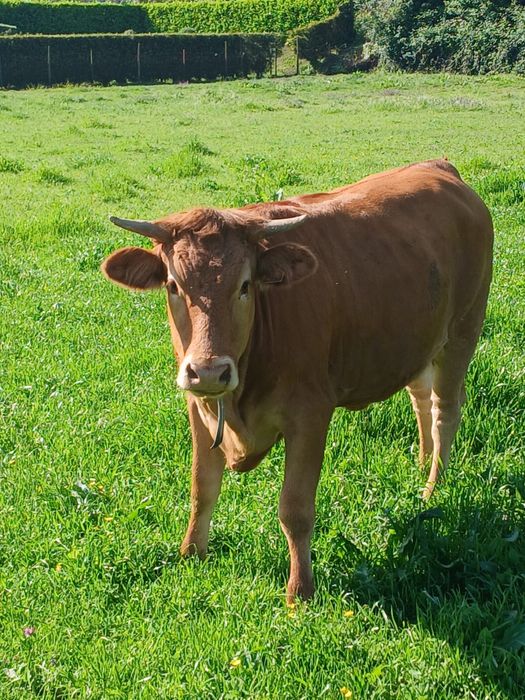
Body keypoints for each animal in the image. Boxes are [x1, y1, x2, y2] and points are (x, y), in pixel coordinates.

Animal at [101, 159, 493, 602]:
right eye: (173, 285)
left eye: (245, 285)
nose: (209, 370)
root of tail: (439, 167)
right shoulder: (197, 406)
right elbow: (202, 488)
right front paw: (191, 555)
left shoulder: (310, 414)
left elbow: (295, 509)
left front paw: (300, 590)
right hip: (417, 341)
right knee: (420, 396)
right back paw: (422, 464)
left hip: (463, 330)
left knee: (446, 410)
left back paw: (431, 488)